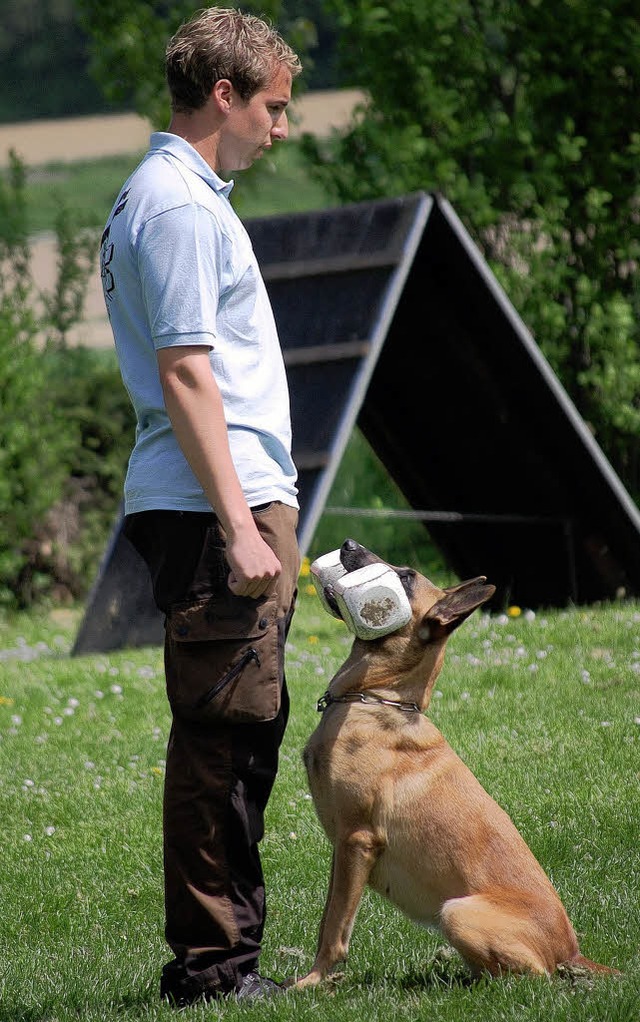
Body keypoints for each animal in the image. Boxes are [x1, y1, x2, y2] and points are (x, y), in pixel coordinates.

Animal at [290, 539, 617, 985]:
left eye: (407, 576)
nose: (348, 544)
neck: (378, 700)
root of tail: (571, 951)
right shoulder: (342, 848)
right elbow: (328, 918)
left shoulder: (356, 840)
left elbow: (335, 929)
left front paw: (311, 983)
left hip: (457, 913)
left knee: (534, 978)